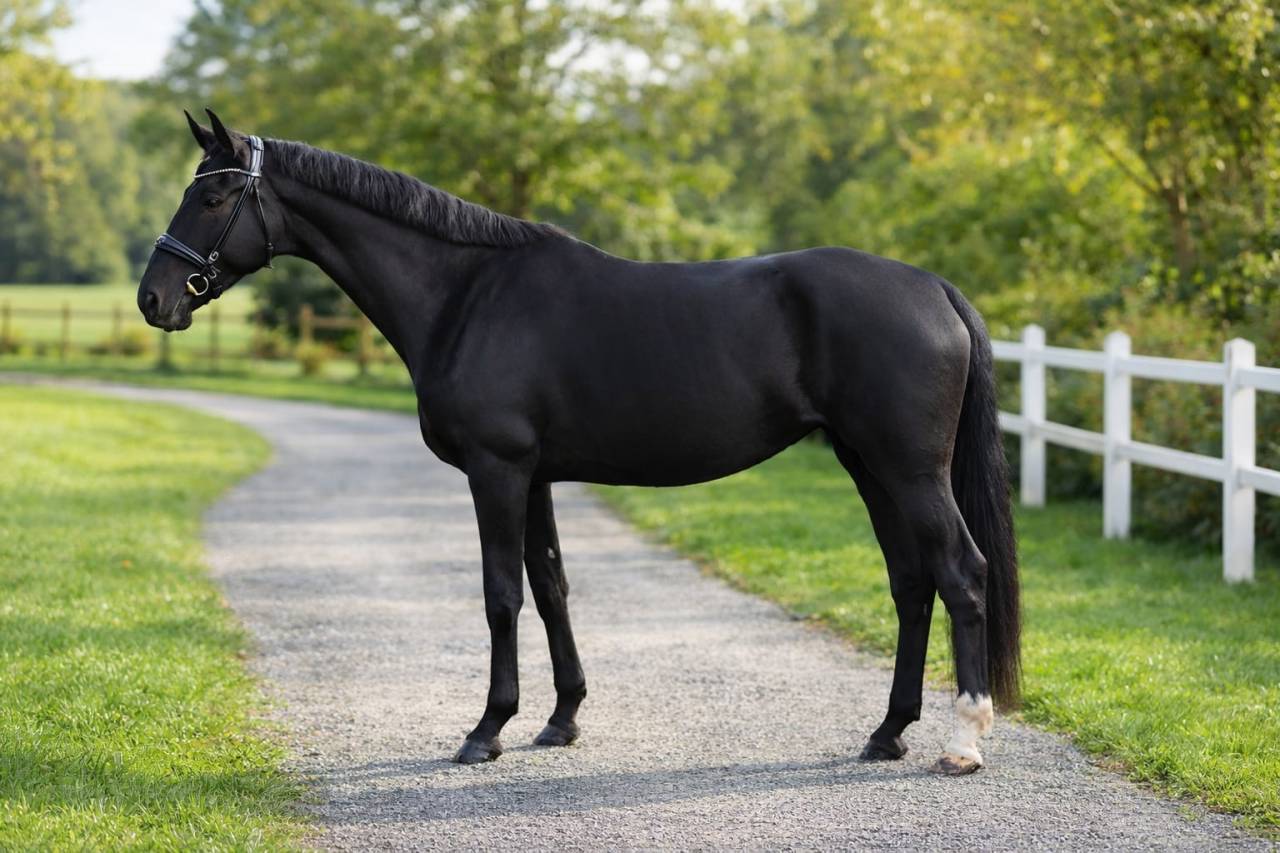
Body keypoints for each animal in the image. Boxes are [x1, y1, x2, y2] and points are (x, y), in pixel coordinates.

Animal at [139, 109, 1020, 775]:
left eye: (216, 193)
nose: (154, 297)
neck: (468, 294)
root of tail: (934, 288)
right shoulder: (534, 476)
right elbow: (552, 584)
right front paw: (560, 719)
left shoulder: (496, 471)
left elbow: (501, 593)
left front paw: (486, 730)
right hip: (866, 462)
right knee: (912, 582)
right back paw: (887, 732)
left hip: (909, 469)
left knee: (962, 573)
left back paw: (963, 740)